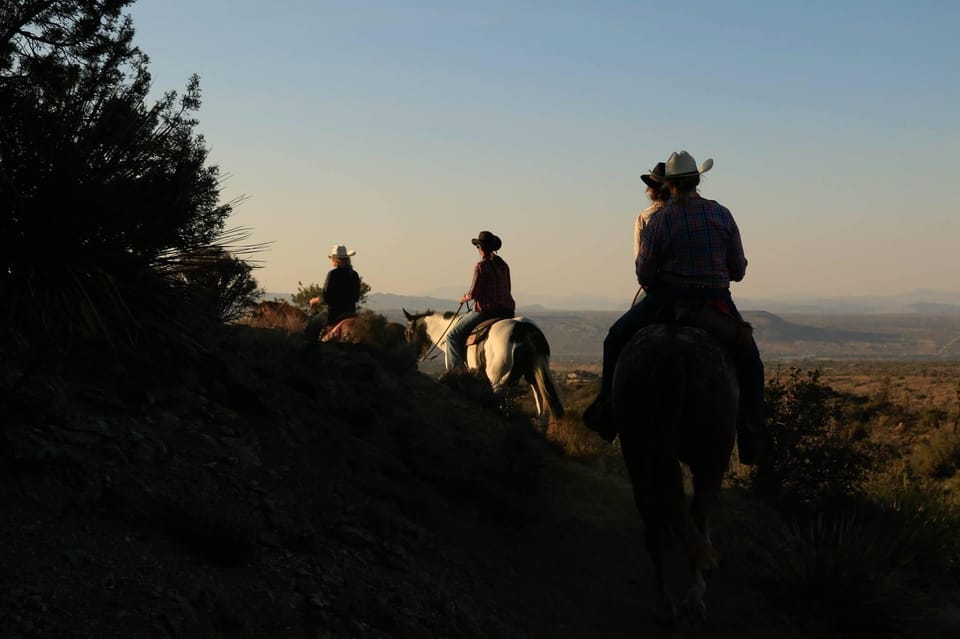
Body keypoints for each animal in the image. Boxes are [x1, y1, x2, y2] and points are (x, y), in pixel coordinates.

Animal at [612, 324, 740, 620]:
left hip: (637, 451)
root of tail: (671, 354)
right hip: (712, 456)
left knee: (654, 522)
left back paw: (665, 603)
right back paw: (694, 595)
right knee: (696, 513)